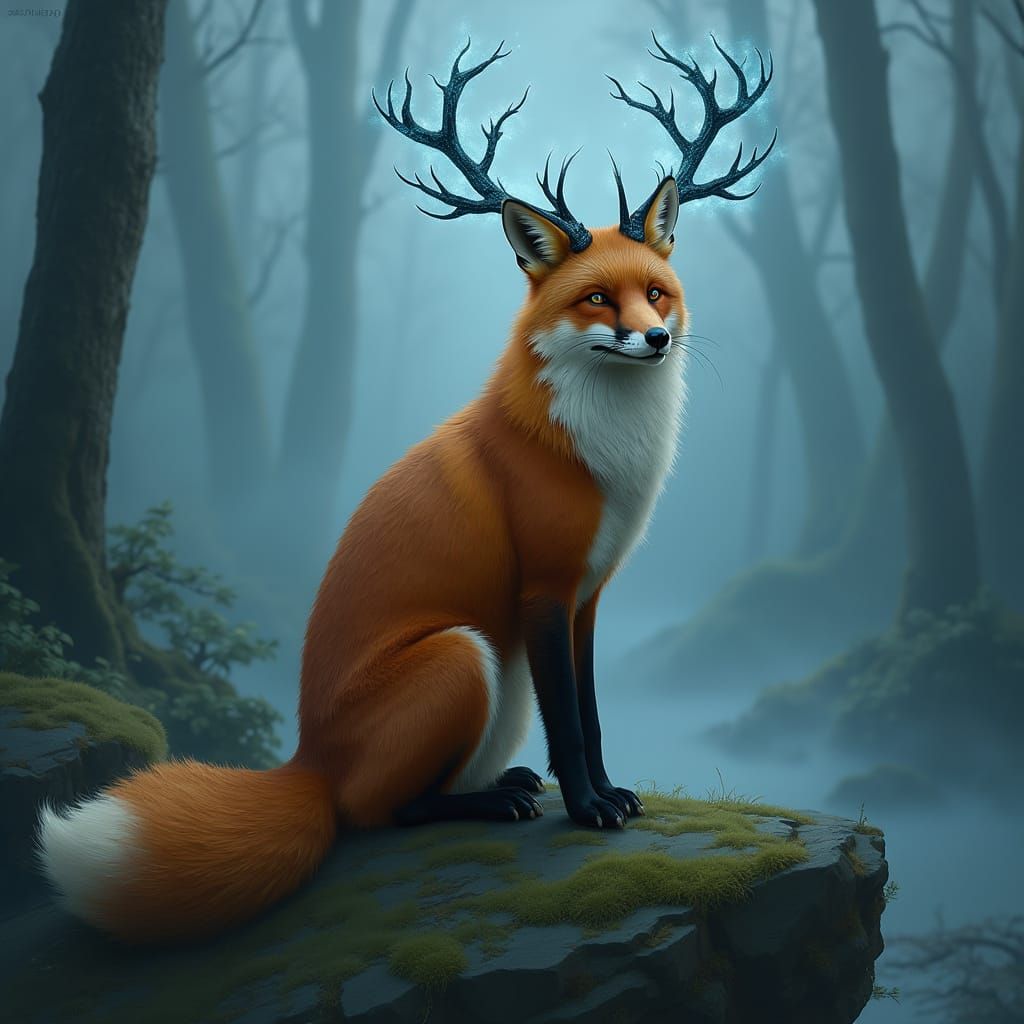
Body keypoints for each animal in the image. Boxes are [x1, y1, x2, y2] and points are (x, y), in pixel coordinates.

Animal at [37, 38, 772, 942]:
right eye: (598, 297)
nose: (657, 338)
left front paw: (610, 793)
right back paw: (490, 802)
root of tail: (306, 758)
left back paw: (502, 784)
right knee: (375, 811)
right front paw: (588, 809)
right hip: (467, 655)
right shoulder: (544, 590)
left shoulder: (589, 598)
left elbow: (594, 714)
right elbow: (570, 723)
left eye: (656, 292)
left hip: (499, 684)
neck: (600, 454)